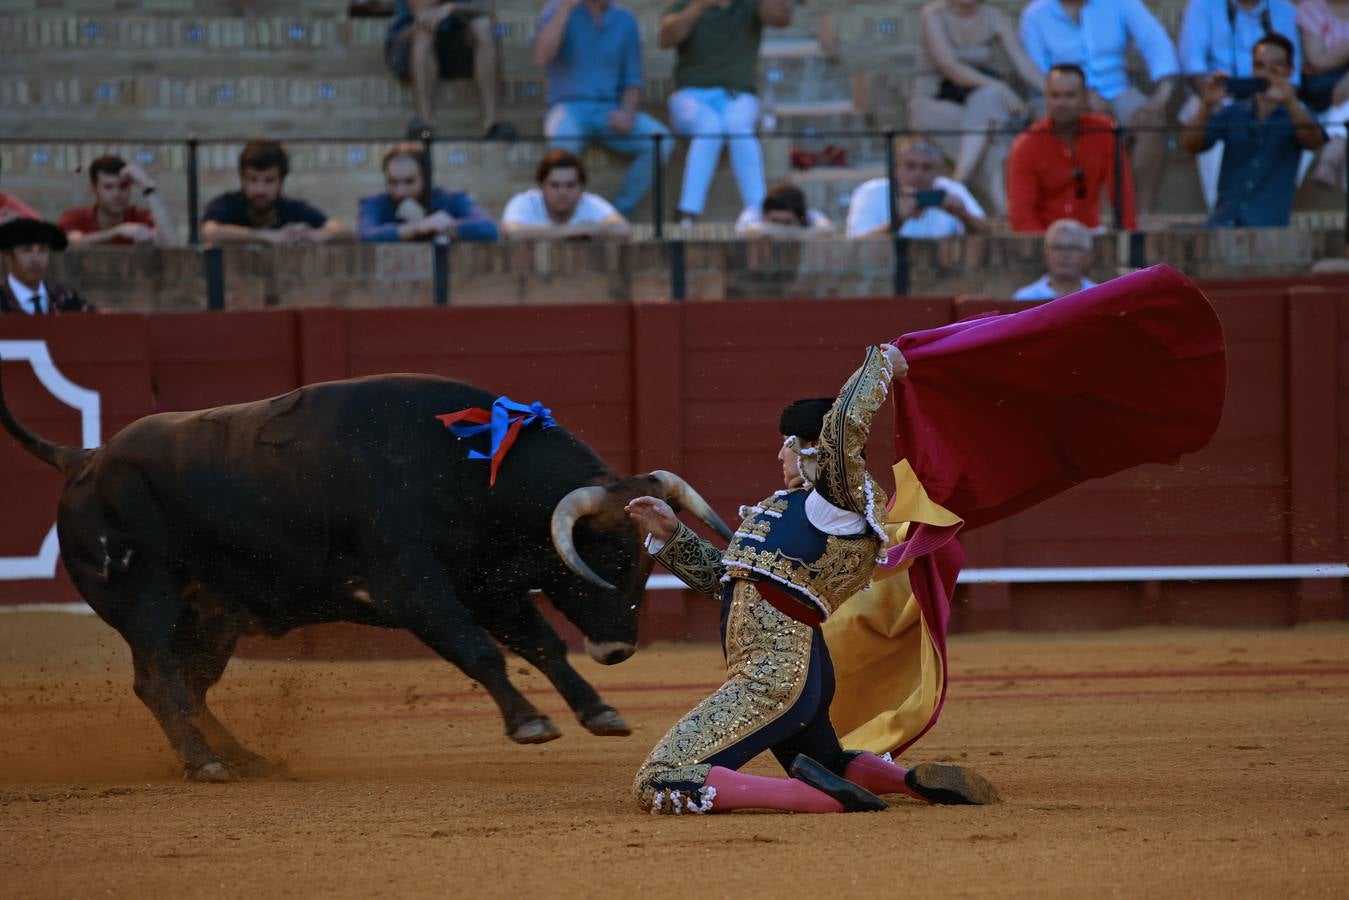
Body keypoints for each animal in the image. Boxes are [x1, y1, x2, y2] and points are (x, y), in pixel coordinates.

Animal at [0, 372, 733, 782]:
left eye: (646, 557)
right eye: (603, 554)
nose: (618, 649)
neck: (465, 470)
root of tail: (83, 459)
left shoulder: (486, 584)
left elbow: (541, 645)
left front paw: (599, 711)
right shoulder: (412, 589)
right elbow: (480, 651)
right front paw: (530, 724)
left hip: (214, 617)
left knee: (190, 685)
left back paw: (242, 759)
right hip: (147, 602)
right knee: (158, 682)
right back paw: (204, 764)